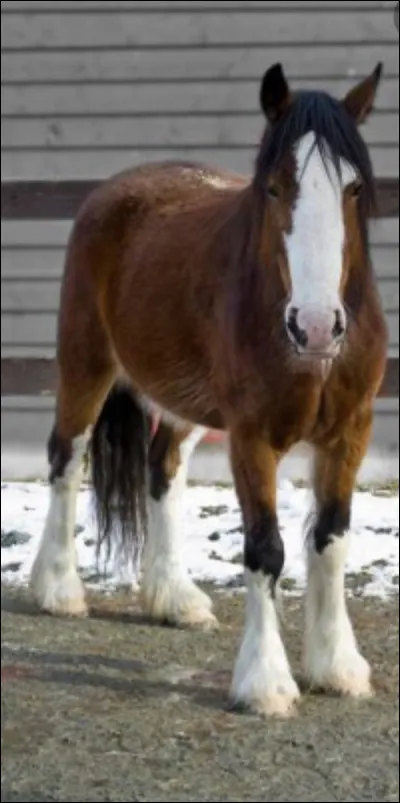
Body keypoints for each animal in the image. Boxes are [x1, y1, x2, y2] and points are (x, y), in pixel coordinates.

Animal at [29, 62, 388, 718]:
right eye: (273, 188)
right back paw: (60, 588)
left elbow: (330, 540)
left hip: (184, 405)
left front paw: (337, 667)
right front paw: (266, 683)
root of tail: (114, 190)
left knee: (161, 470)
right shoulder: (252, 438)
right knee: (67, 459)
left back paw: (175, 598)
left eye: (352, 189)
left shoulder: (350, 432)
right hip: (86, 365)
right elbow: (266, 549)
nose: (316, 325)